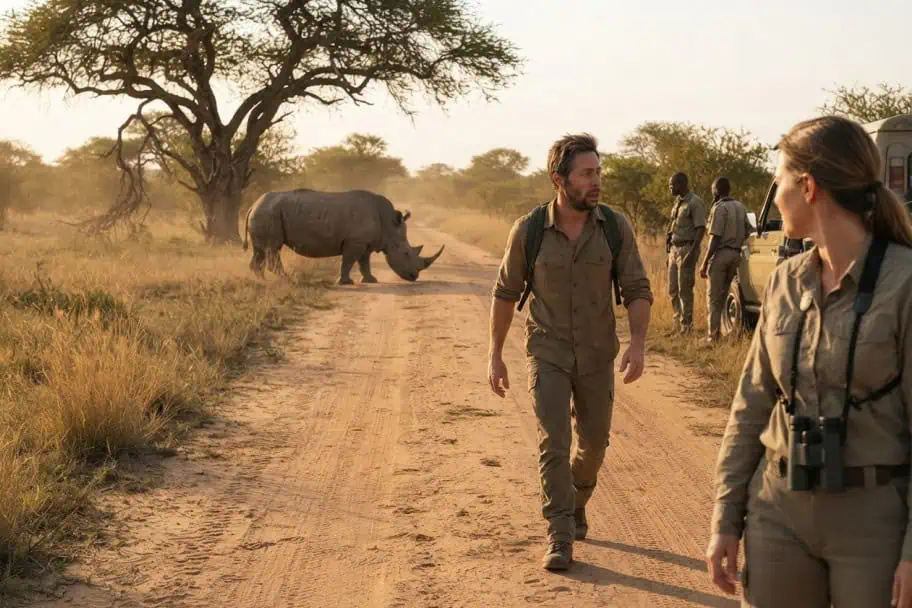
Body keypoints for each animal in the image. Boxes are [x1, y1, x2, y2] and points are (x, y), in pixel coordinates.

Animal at [241, 188, 444, 284]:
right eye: (406, 254)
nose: (414, 277)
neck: (388, 225)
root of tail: (252, 205)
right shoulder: (355, 241)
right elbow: (348, 261)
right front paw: (346, 282)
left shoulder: (365, 242)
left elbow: (364, 262)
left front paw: (370, 280)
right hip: (268, 213)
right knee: (272, 248)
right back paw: (290, 280)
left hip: (265, 213)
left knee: (260, 250)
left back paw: (263, 282)